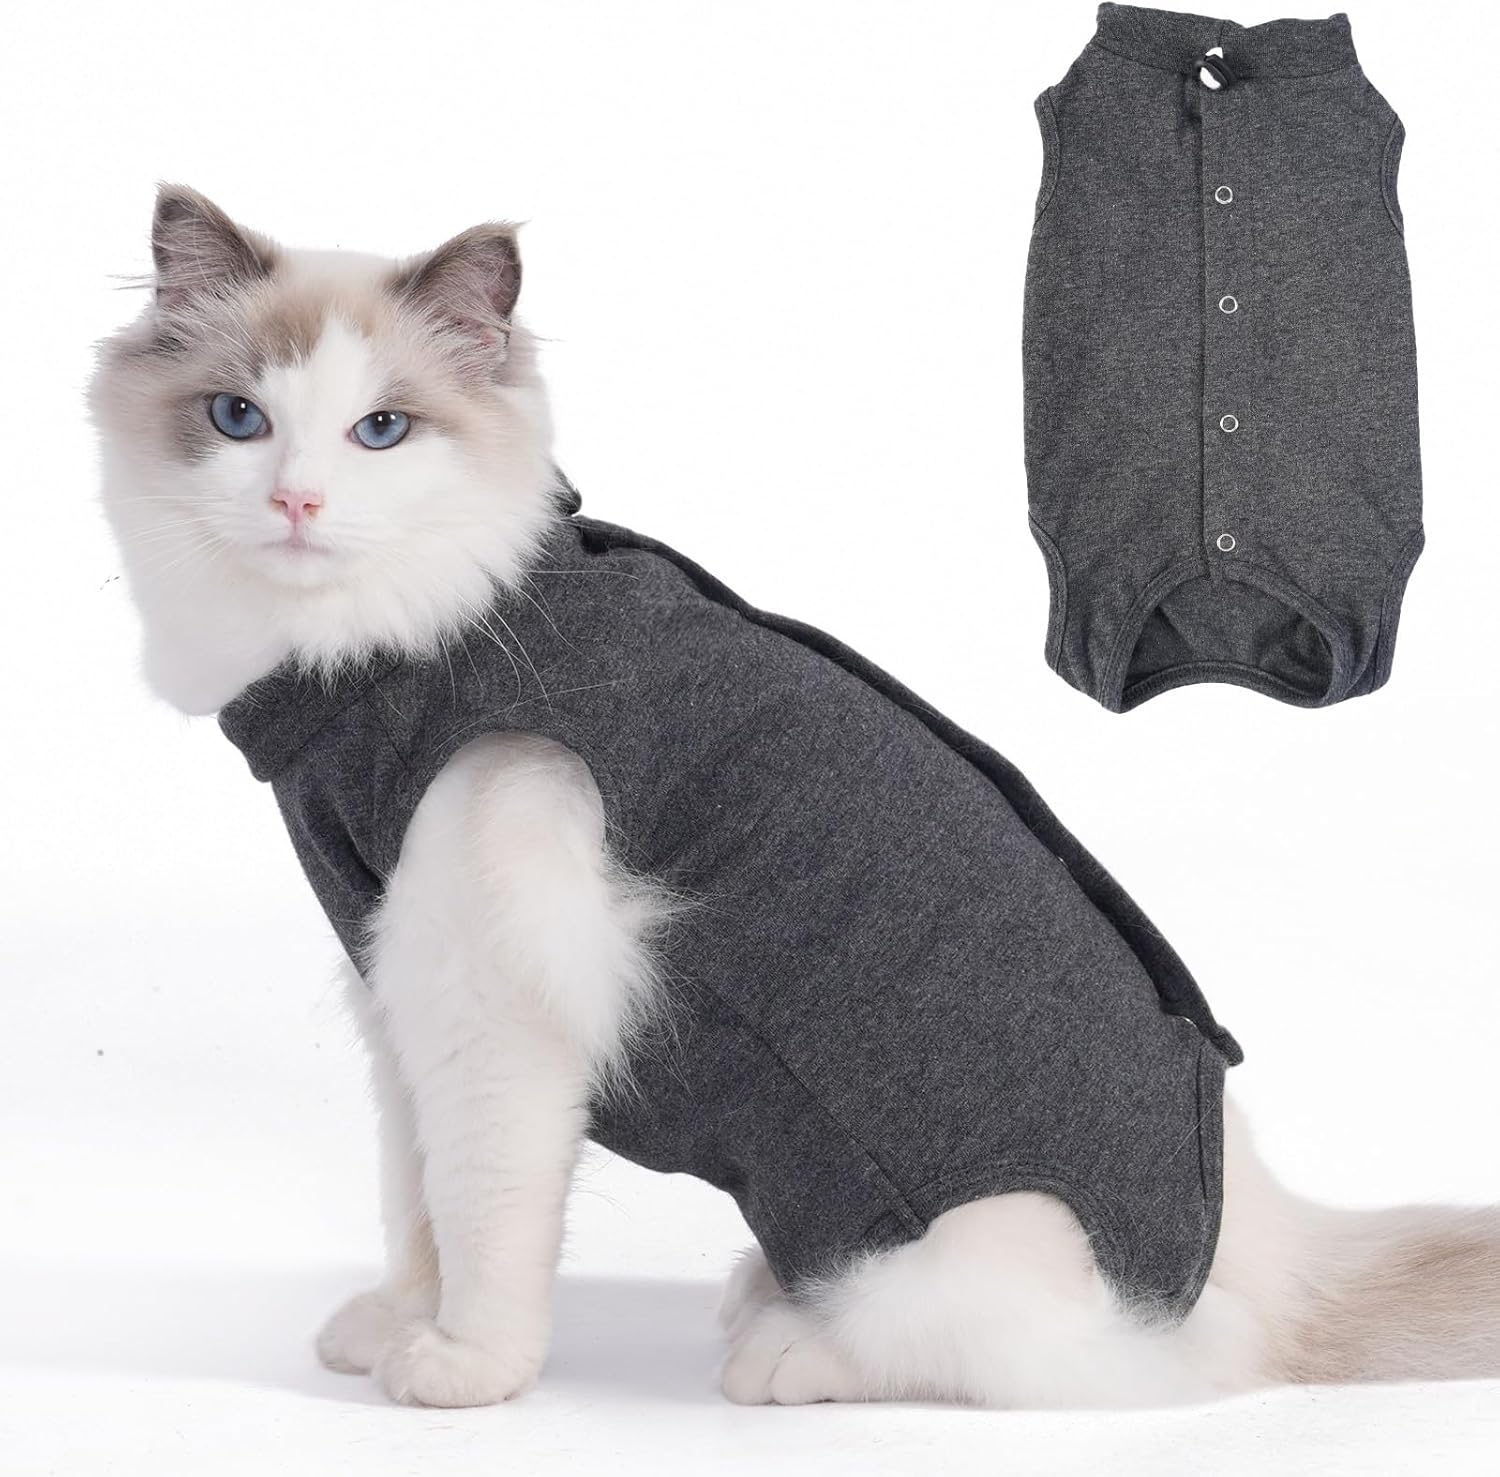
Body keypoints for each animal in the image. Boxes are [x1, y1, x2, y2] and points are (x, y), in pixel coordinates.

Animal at [87, 184, 1500, 1409]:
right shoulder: (398, 979)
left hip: (946, 1258)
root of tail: (1272, 1238)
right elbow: (415, 1197)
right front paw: (394, 1327)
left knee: (1051, 1361)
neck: (407, 645)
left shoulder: (492, 1004)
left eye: (380, 431)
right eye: (237, 419)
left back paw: (783, 1346)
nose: (297, 500)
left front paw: (463, 1370)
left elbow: (481, 1208)